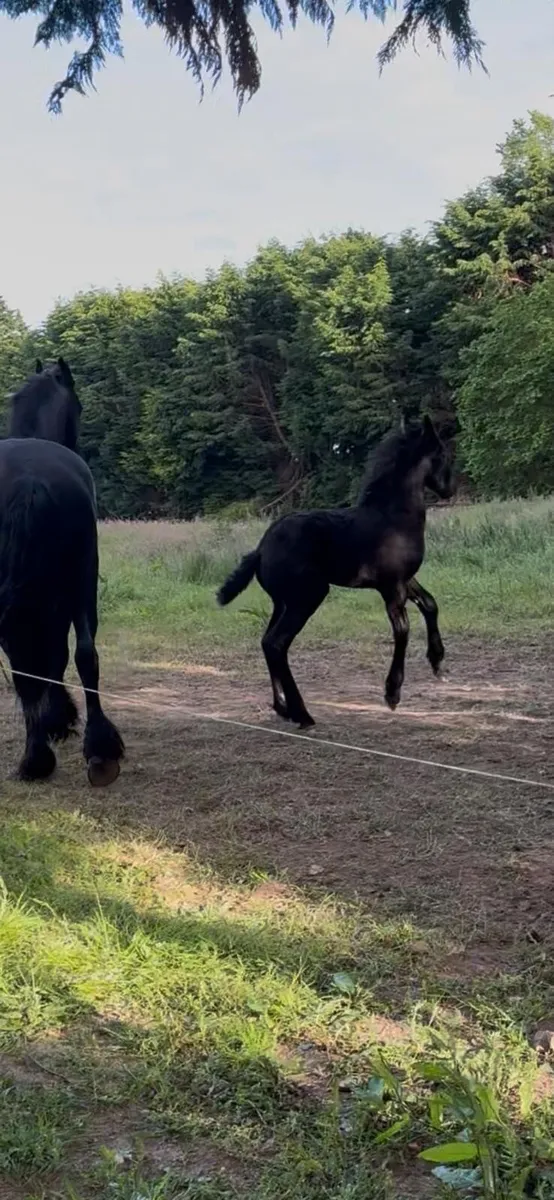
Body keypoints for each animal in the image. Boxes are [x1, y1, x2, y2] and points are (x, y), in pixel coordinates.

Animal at [218, 416, 454, 728]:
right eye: (443, 455)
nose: (450, 489)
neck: (393, 519)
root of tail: (260, 550)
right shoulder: (391, 585)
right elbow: (402, 630)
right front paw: (392, 693)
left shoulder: (405, 579)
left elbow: (430, 604)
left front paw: (437, 660)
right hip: (308, 597)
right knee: (276, 643)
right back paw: (301, 713)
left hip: (283, 602)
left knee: (267, 642)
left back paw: (283, 708)